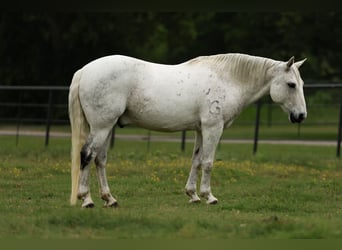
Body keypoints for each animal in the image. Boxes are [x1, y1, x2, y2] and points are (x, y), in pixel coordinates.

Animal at [67, 52, 308, 207]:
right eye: (291, 85)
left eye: (301, 84)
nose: (301, 116)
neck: (227, 79)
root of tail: (85, 70)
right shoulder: (213, 128)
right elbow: (208, 163)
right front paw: (209, 196)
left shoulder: (200, 130)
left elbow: (196, 161)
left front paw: (192, 195)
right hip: (101, 127)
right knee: (87, 155)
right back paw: (87, 200)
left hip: (106, 128)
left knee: (100, 160)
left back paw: (109, 199)